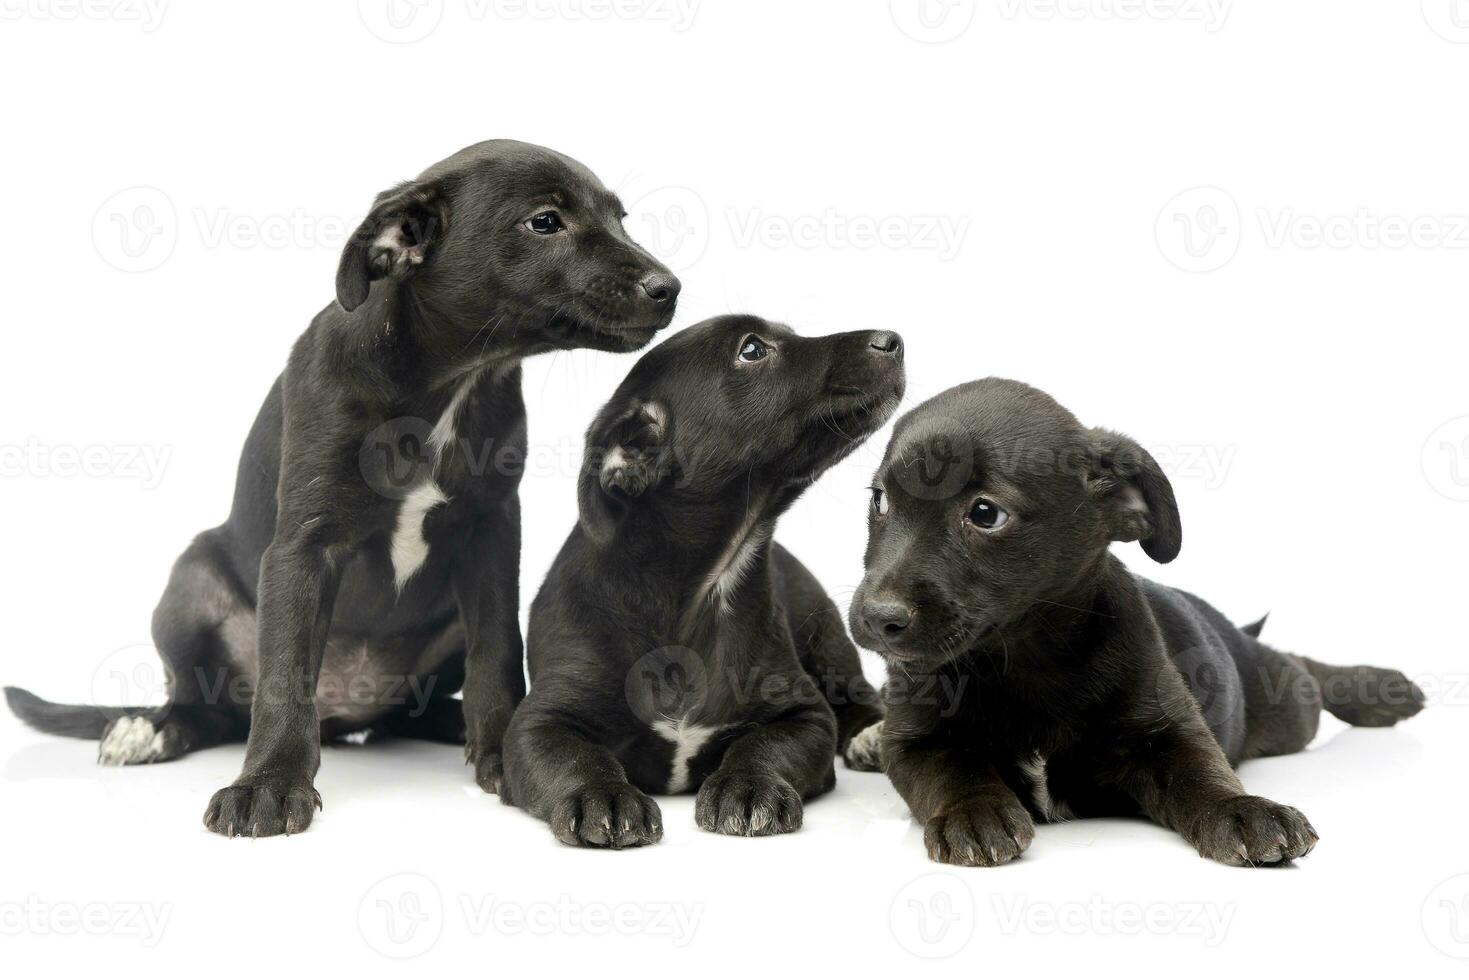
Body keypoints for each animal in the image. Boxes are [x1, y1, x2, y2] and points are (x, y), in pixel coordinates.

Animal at [5, 141, 678, 840]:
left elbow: (497, 649)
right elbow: (284, 674)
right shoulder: (304, 545)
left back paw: (448, 723)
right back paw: (148, 728)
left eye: (621, 219)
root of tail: (346, 712)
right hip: (190, 582)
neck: (448, 384)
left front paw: (501, 751)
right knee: (205, 706)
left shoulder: (492, 533)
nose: (669, 289)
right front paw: (267, 786)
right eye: (546, 222)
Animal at [499, 315, 899, 852]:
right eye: (752, 350)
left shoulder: (805, 715)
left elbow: (764, 745)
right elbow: (575, 758)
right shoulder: (536, 724)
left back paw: (871, 736)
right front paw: (602, 795)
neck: (703, 591)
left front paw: (747, 785)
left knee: (859, 694)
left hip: (826, 634)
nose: (894, 339)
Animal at [852, 379, 1421, 869]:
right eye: (879, 500)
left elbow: (1201, 773)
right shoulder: (916, 741)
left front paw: (1241, 811)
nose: (877, 618)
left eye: (986, 513)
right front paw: (974, 810)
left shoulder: (1166, 732)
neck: (1023, 657)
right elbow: (952, 769)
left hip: (1284, 710)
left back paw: (1380, 689)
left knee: (1300, 669)